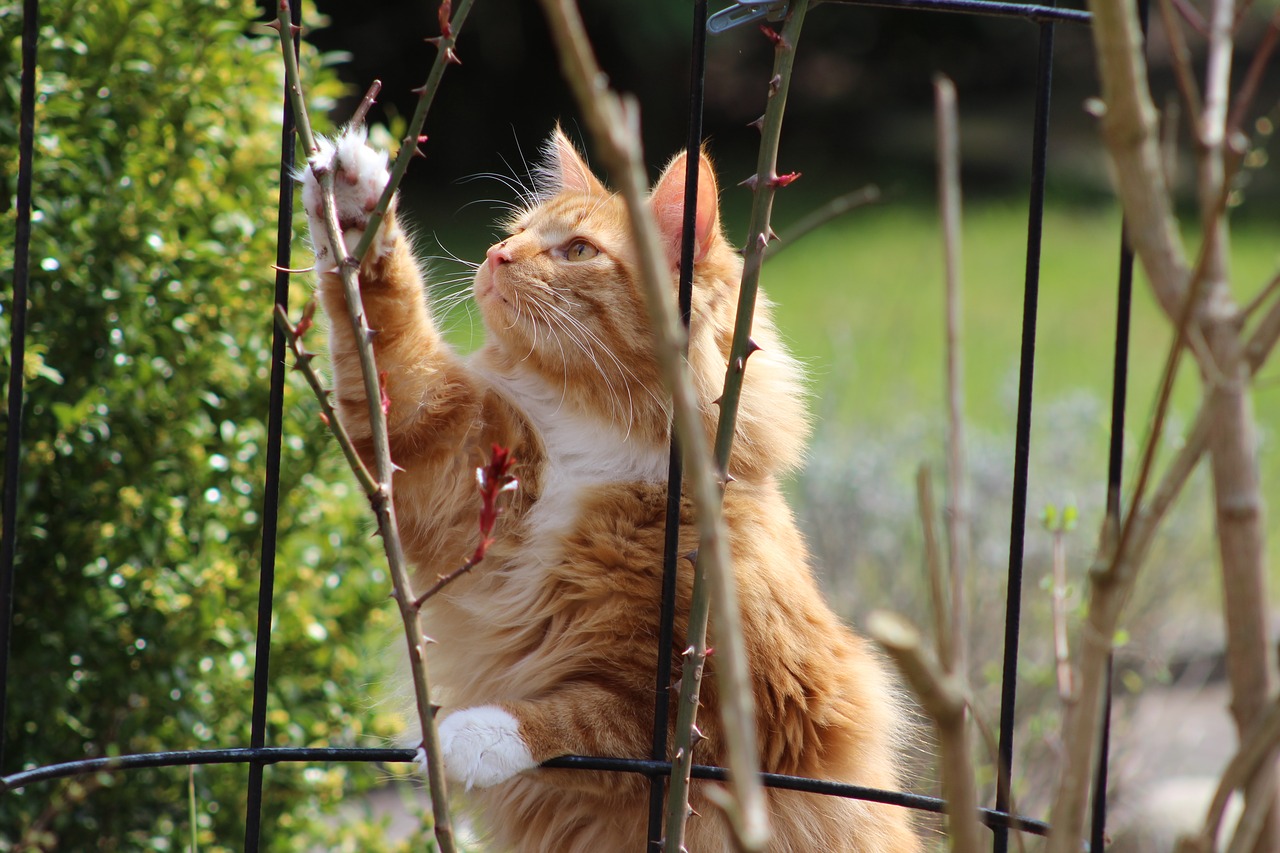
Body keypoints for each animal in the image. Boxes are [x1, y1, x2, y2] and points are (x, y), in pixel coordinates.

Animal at [299, 122, 921, 845]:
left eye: (577, 251)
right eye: (516, 232)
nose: (496, 256)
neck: (592, 441)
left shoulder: (734, 713)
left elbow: (595, 721)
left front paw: (472, 734)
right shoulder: (437, 447)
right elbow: (385, 324)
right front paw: (351, 205)